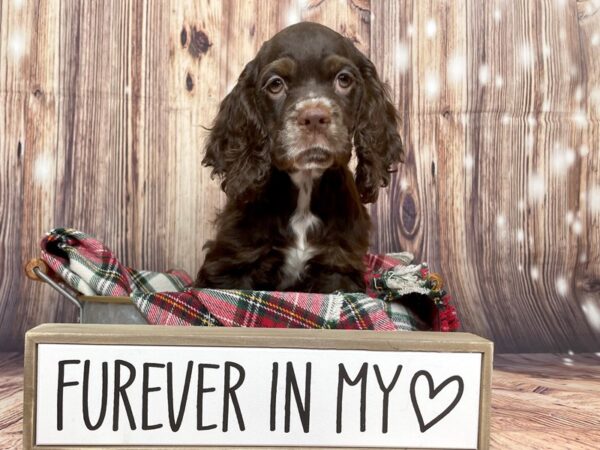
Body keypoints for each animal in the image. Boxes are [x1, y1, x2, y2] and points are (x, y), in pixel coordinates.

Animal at [196, 22, 404, 294]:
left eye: (344, 79)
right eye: (275, 84)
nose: (314, 117)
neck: (305, 186)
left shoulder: (337, 266)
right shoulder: (231, 264)